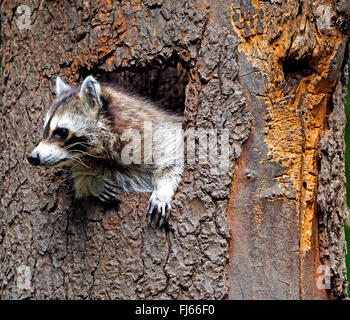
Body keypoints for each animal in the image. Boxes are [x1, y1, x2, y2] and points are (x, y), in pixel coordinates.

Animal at [27, 76, 185, 226]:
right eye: (45, 129)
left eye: (62, 132)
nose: (32, 157)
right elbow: (78, 181)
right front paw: (91, 182)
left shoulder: (154, 136)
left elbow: (174, 158)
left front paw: (162, 191)